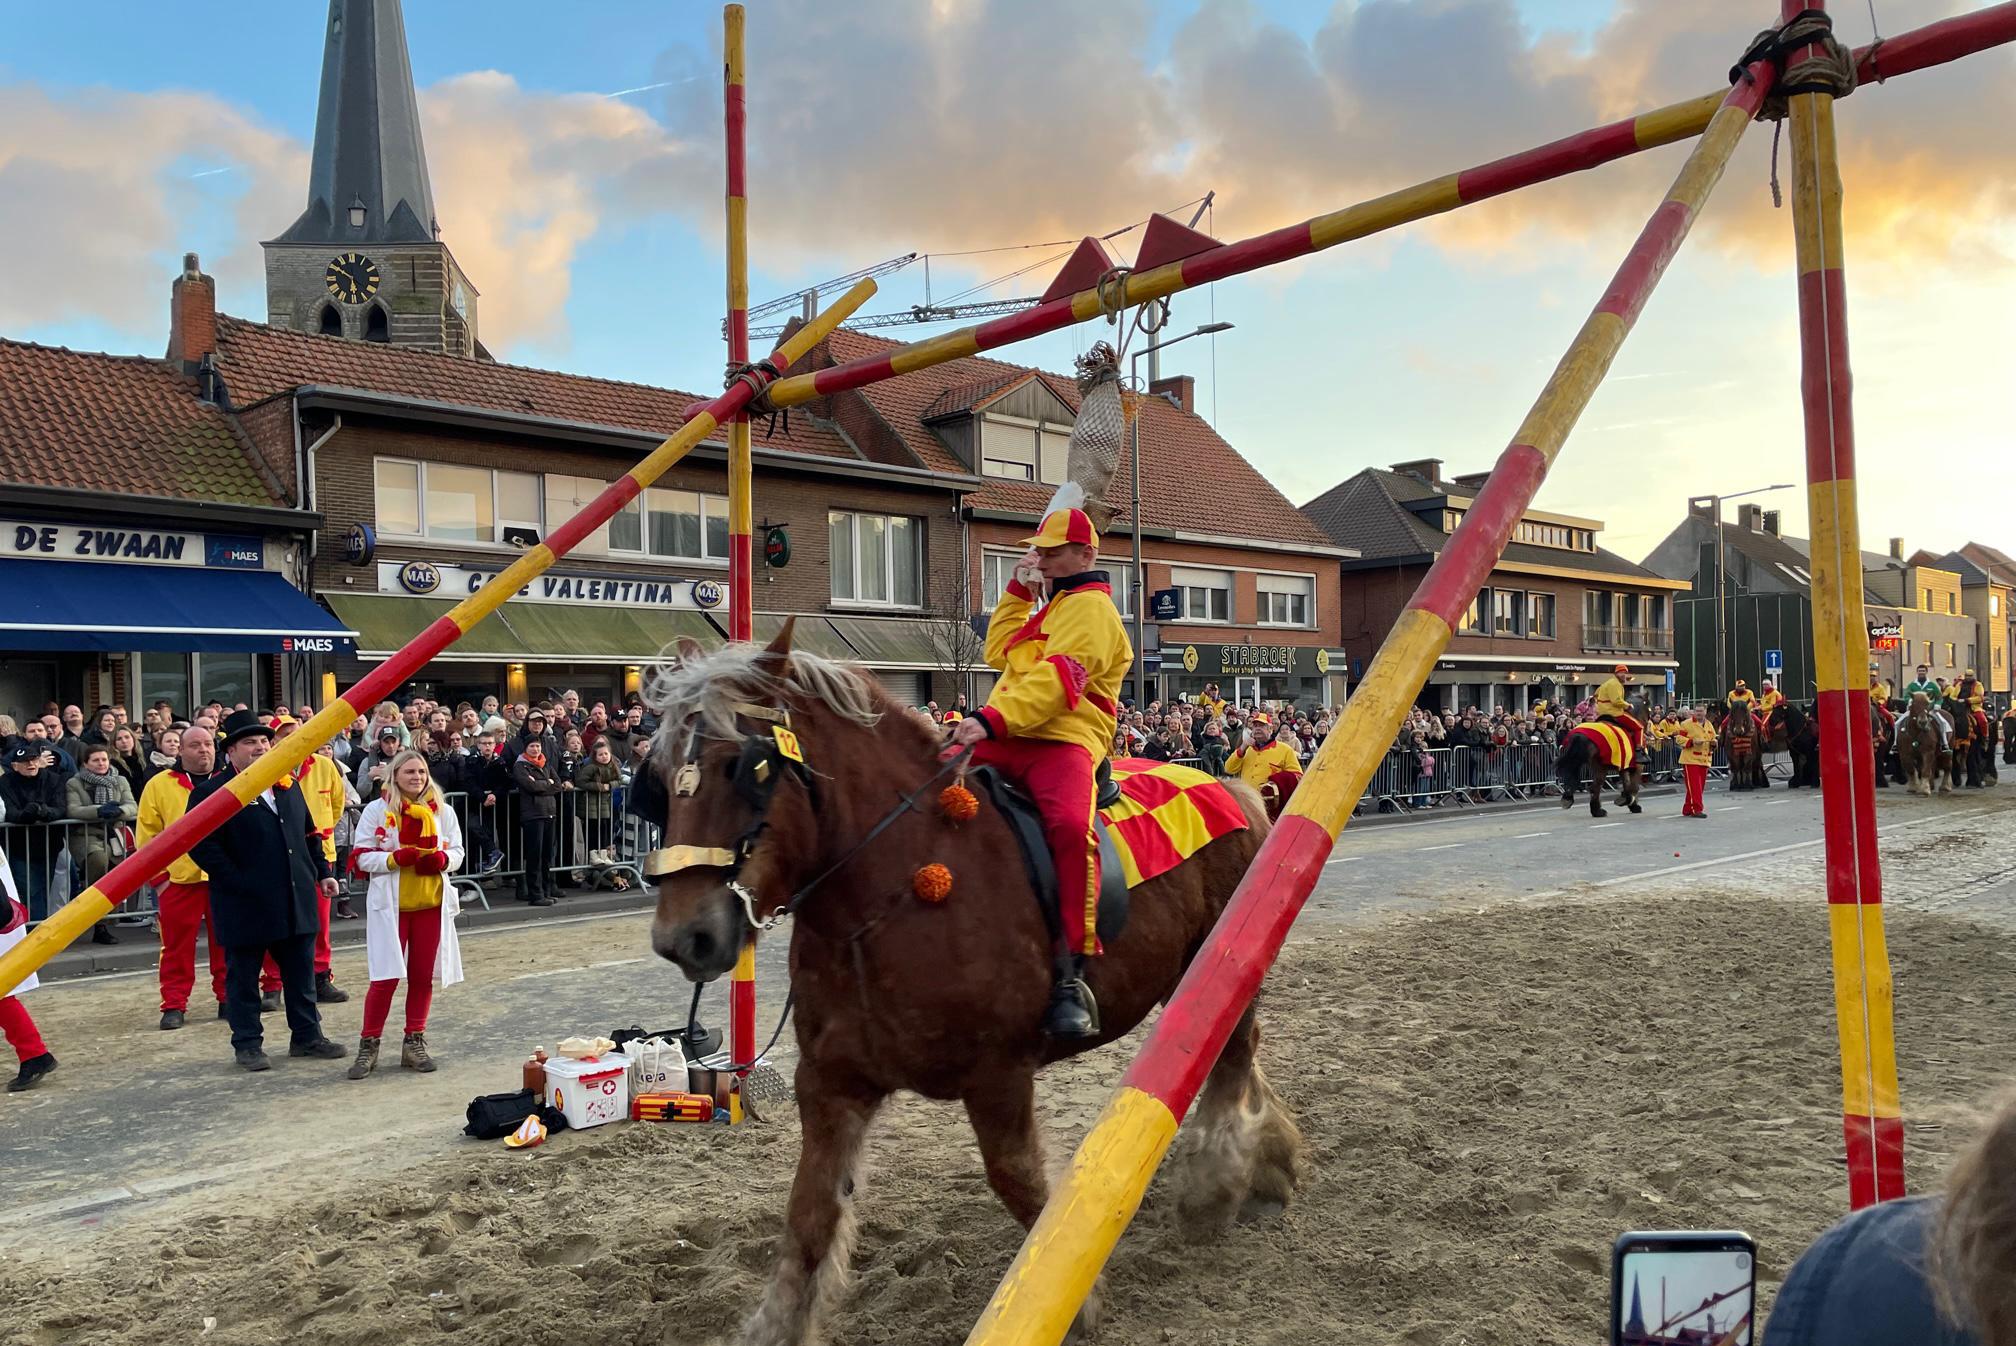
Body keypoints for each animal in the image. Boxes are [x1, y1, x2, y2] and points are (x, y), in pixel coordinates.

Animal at [645, 628, 1306, 1346]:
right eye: (658, 777)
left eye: (746, 766)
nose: (684, 936)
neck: (898, 886)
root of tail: (1228, 787)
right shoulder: (830, 1084)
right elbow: (810, 1219)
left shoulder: (997, 1077)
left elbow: (1016, 1183)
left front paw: (1067, 1301)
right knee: (1233, 1056)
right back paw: (1269, 1159)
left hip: (1218, 967)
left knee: (1233, 1058)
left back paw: (1220, 1186)